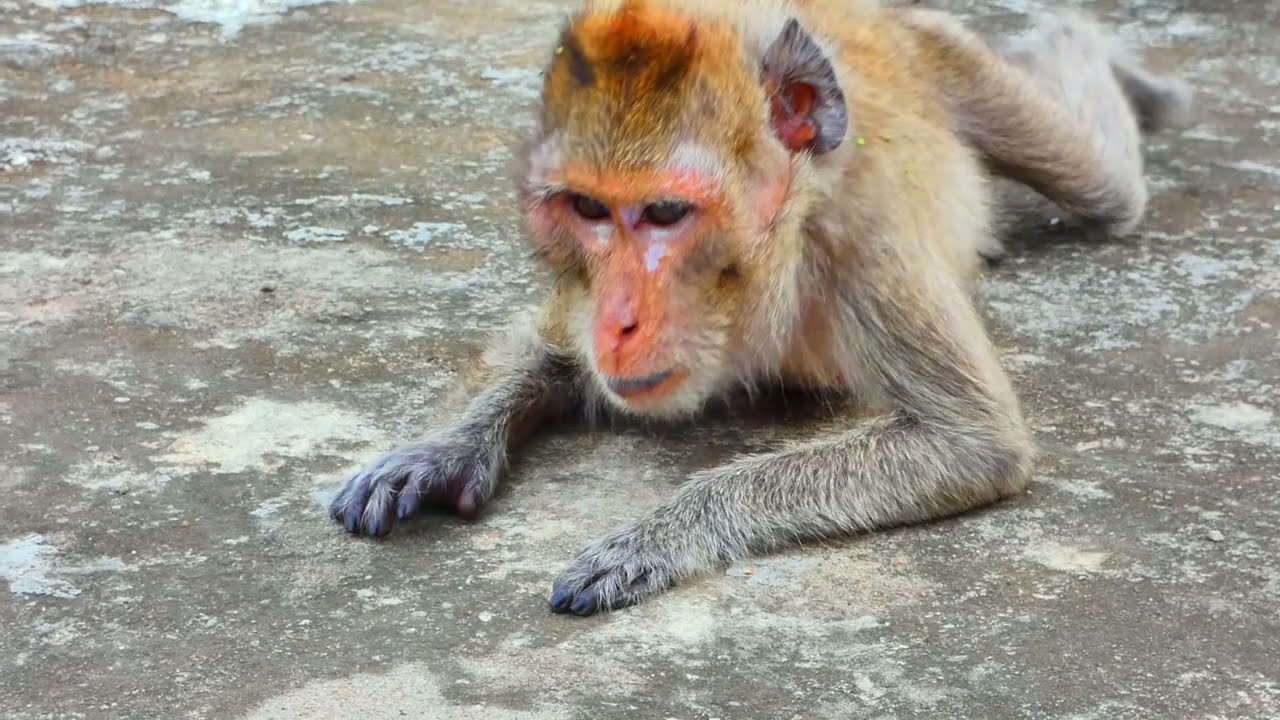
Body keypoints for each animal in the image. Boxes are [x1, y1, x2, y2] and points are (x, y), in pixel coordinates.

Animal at [328, 0, 1191, 617]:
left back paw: (1097, 52)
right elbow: (553, 352)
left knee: (1106, 188)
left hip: (938, 51)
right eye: (588, 209)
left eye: (665, 214)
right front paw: (443, 448)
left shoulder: (865, 246)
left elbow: (974, 442)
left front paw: (669, 529)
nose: (616, 321)